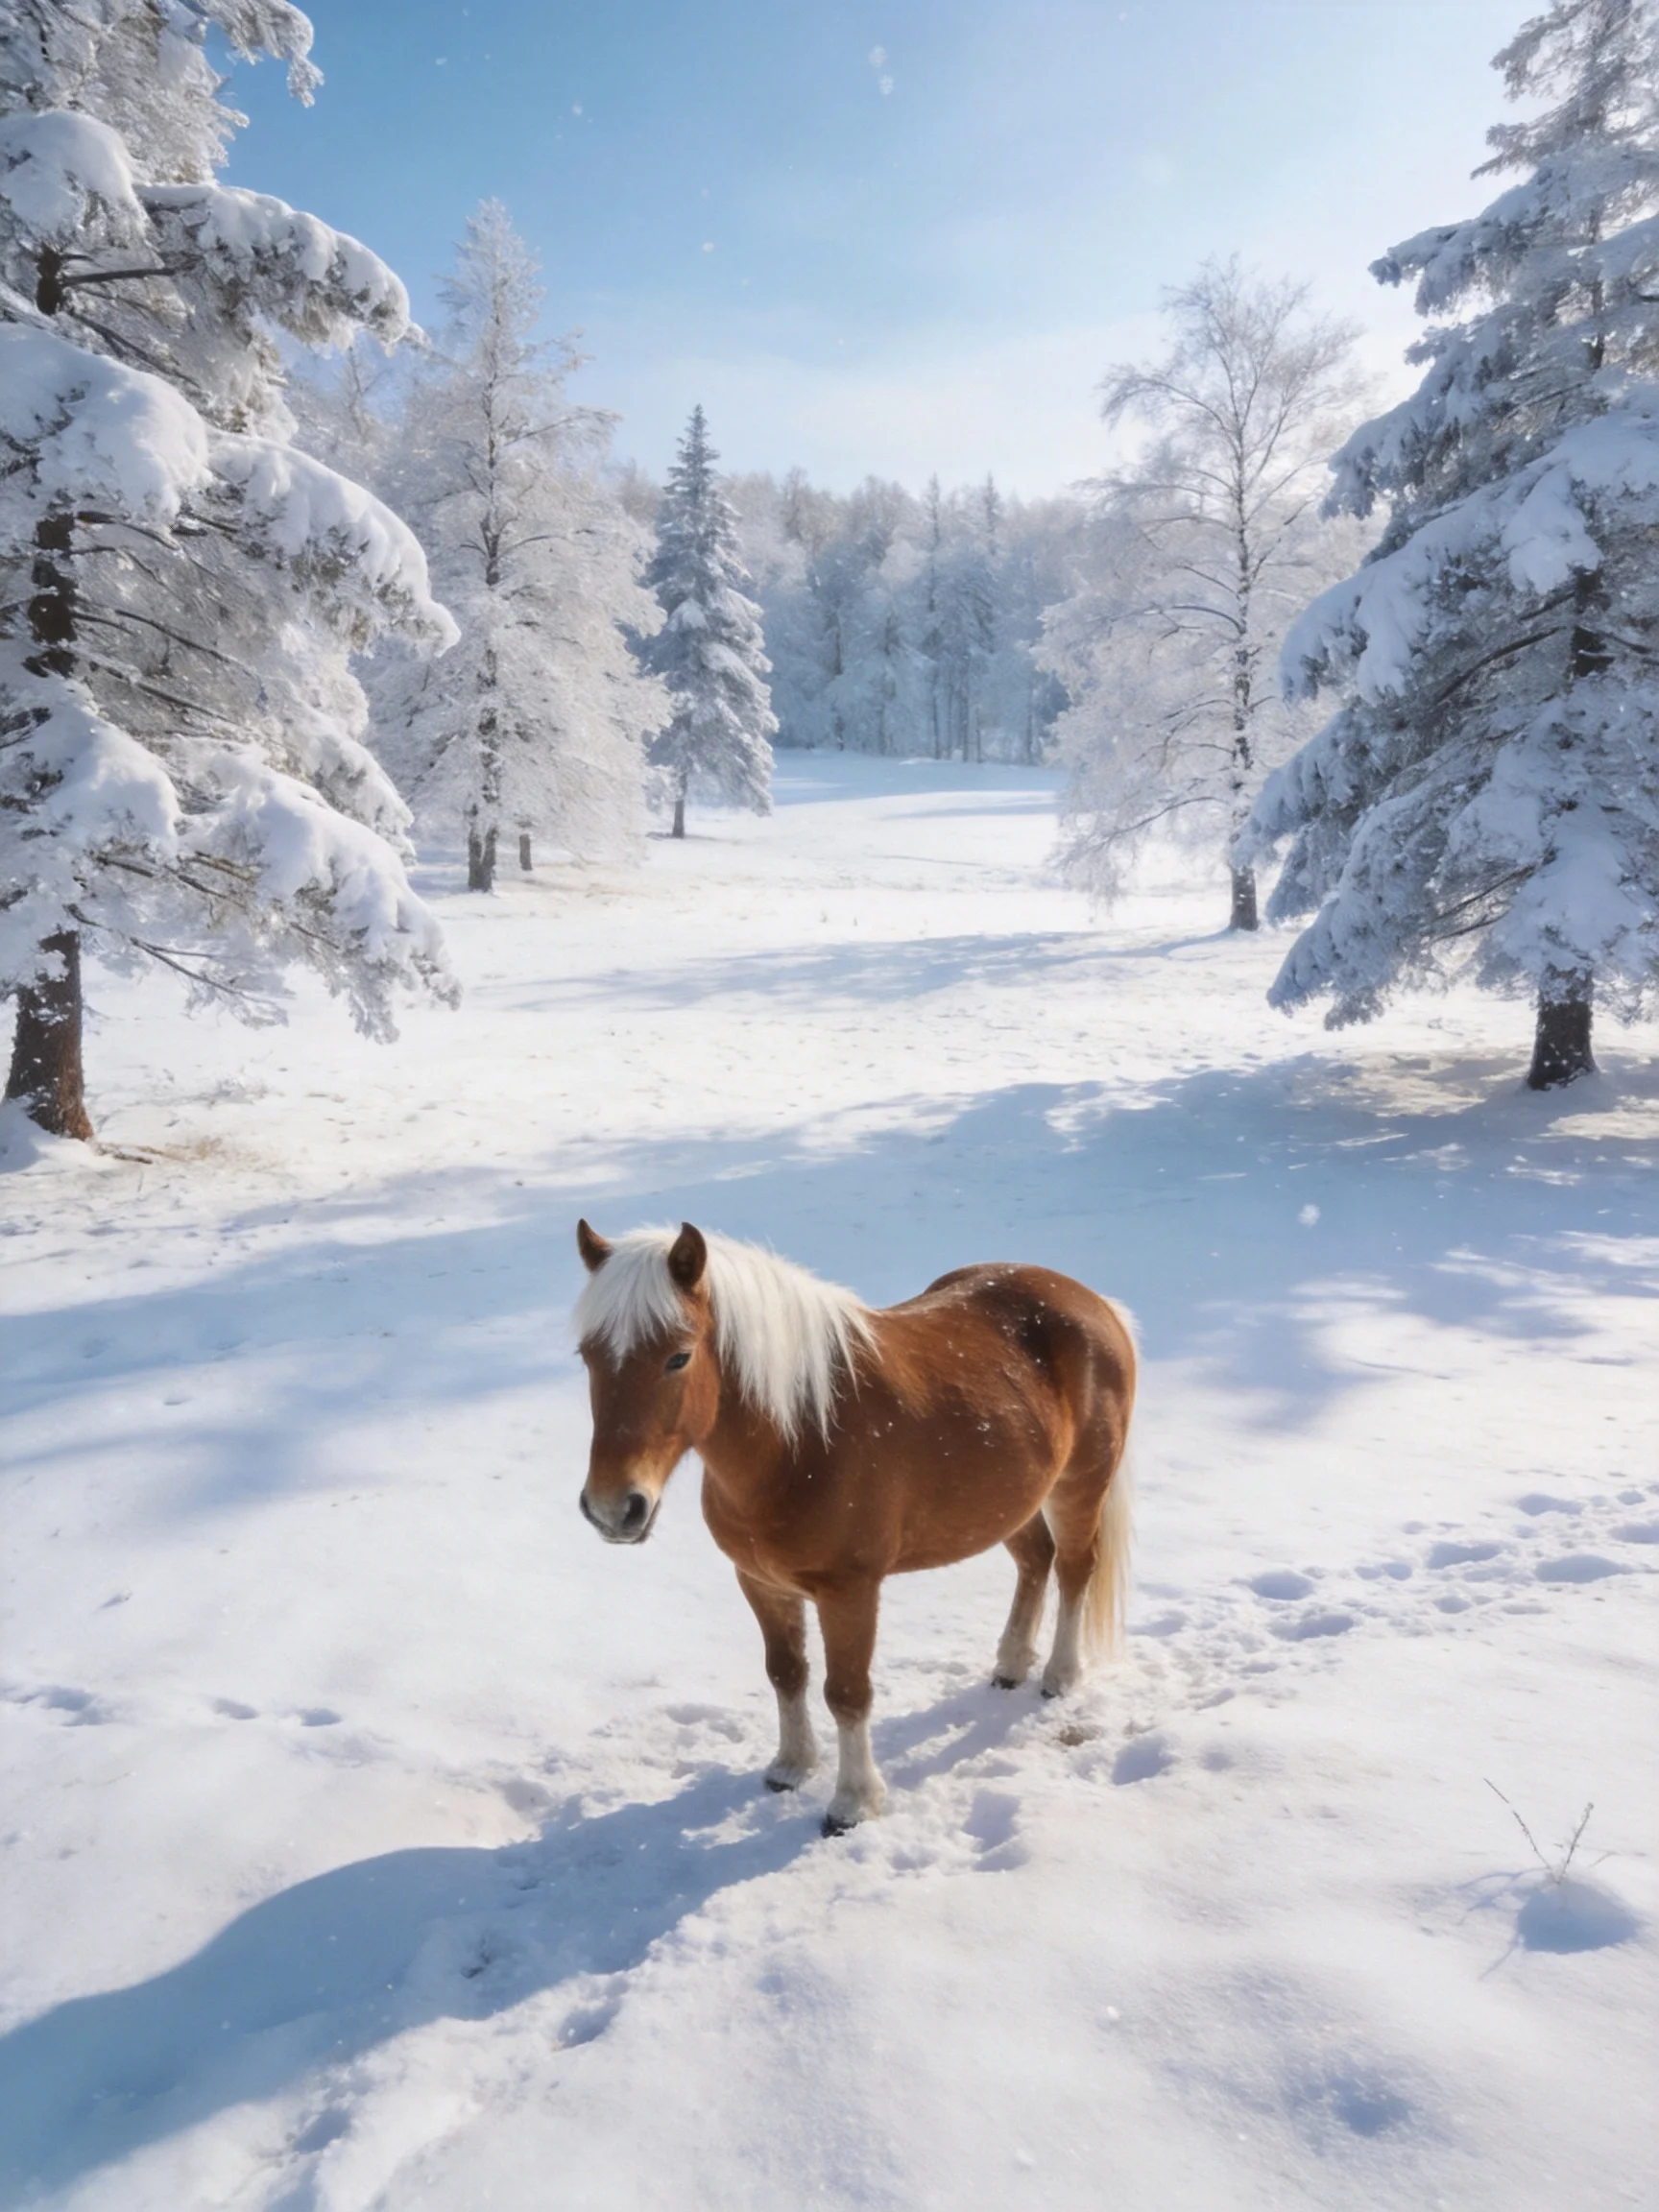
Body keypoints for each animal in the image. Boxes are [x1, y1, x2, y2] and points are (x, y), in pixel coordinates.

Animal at [573, 1219, 1136, 1836]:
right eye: (587, 1355)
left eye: (679, 1357)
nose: (612, 1508)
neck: (798, 1440)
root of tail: (1093, 1301)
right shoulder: (760, 1582)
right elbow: (786, 1673)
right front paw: (791, 1766)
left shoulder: (850, 1592)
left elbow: (846, 1693)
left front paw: (852, 1802)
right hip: (1008, 1501)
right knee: (1035, 1560)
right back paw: (1011, 1665)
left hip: (1077, 1487)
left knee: (1075, 1567)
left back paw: (1059, 1675)